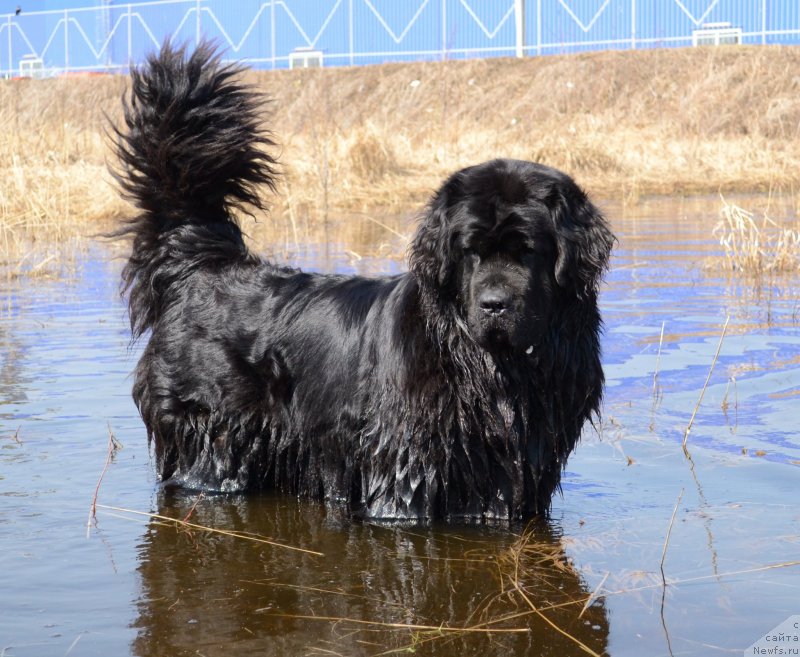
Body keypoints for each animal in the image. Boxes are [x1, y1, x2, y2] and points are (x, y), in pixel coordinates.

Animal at [114, 43, 612, 520]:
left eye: (528, 250)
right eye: (471, 250)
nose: (494, 303)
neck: (492, 368)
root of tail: (202, 262)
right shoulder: (407, 456)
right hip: (213, 428)